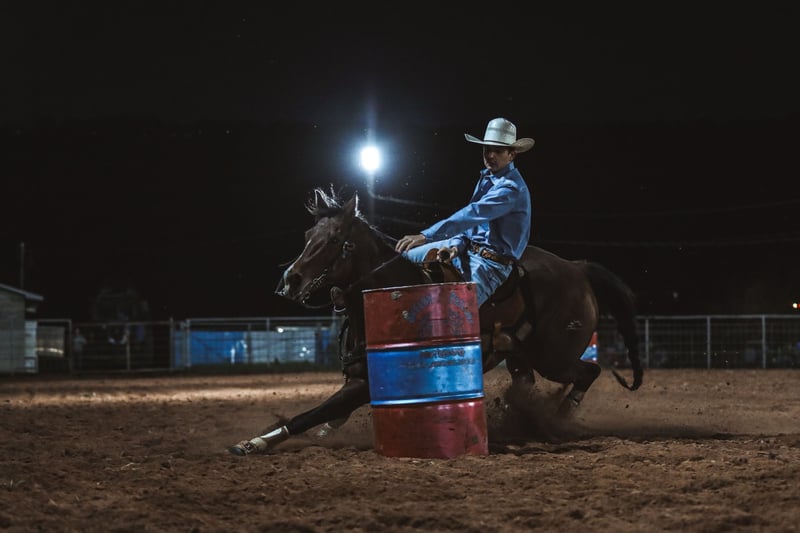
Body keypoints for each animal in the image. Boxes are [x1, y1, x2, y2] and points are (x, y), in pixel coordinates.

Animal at [228, 188, 643, 455]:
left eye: (333, 240)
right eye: (307, 234)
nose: (291, 280)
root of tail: (577, 268)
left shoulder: (367, 385)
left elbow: (310, 414)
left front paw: (253, 443)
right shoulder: (360, 378)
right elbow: (330, 414)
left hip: (553, 356)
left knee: (588, 371)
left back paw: (559, 417)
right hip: (521, 357)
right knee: (528, 385)